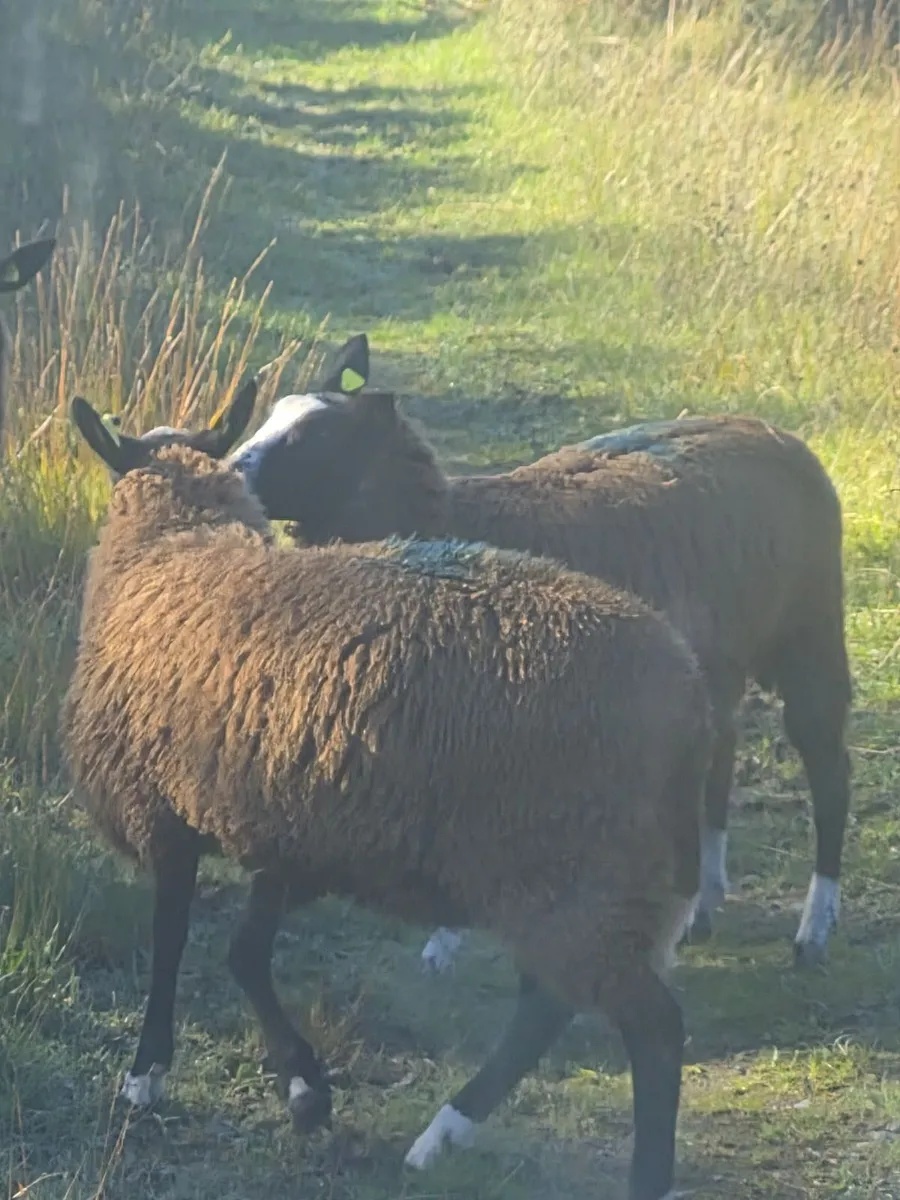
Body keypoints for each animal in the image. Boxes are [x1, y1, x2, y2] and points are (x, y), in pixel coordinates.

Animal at [63, 392, 713, 1200]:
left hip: (573, 870)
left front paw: (146, 1073)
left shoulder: (165, 812)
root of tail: (688, 698)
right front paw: (306, 1089)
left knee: (649, 1030)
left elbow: (171, 939)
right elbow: (245, 953)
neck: (173, 551)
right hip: (571, 879)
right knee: (548, 1007)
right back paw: (444, 1133)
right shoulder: (283, 824)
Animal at [226, 333, 853, 970]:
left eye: (313, 437)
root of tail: (774, 433)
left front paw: (447, 940)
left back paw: (814, 930)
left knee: (829, 770)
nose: (226, 470)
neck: (451, 523)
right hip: (716, 662)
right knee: (720, 758)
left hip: (810, 630)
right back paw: (705, 903)